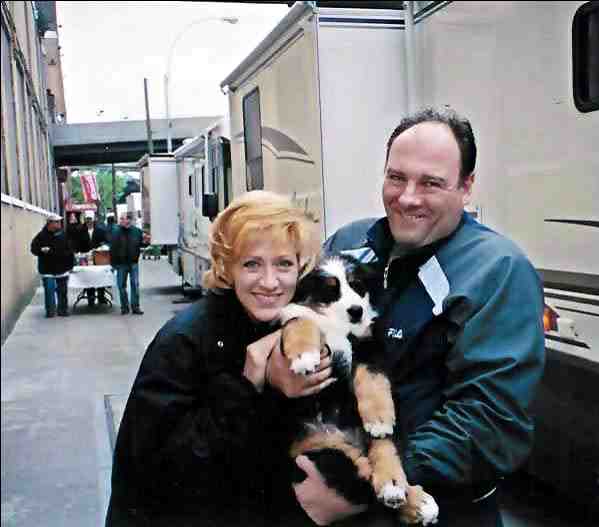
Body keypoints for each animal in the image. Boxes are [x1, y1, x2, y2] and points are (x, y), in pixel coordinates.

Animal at [280, 254, 439, 525]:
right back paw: (408, 499)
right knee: (357, 476)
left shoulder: (368, 347)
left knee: (385, 448)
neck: (337, 327)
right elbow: (300, 320)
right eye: (330, 290)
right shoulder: (289, 318)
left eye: (357, 285)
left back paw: (403, 492)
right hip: (318, 451)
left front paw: (379, 419)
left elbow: (373, 380)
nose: (356, 311)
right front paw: (304, 357)